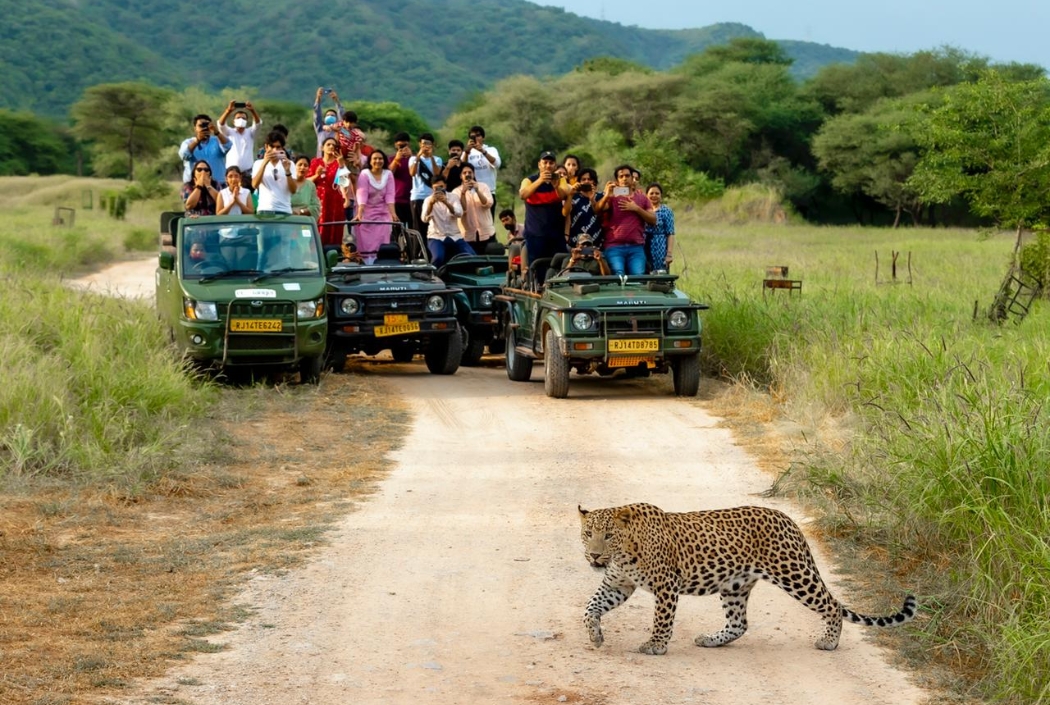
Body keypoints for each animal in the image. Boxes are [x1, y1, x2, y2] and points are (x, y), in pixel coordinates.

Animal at [579, 503, 917, 655]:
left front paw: (655, 646)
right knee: (739, 623)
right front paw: (595, 635)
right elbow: (590, 608)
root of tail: (789, 520)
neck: (624, 552)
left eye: (608, 536)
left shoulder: (666, 585)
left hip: (794, 574)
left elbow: (662, 619)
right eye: (588, 533)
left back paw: (829, 641)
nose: (594, 556)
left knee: (832, 604)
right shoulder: (617, 584)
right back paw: (711, 640)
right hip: (735, 586)